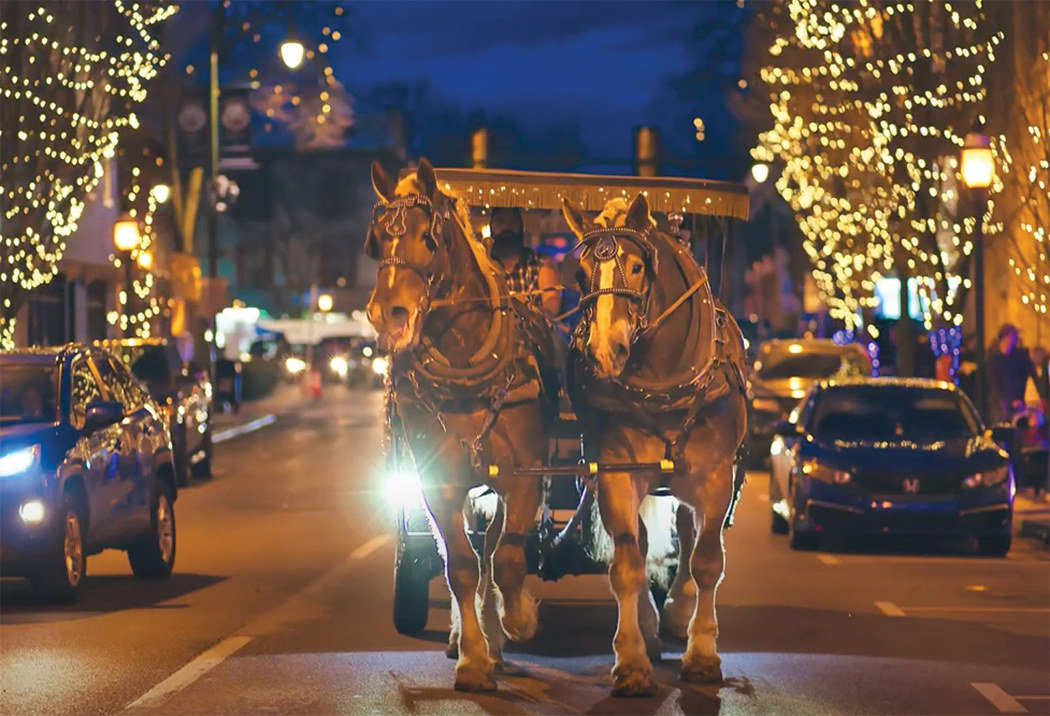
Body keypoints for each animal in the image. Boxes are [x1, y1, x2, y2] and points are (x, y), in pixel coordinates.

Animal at [567, 192, 747, 692]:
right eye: (579, 274)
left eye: (635, 266)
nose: (604, 353)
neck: (664, 386)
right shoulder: (616, 476)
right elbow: (627, 564)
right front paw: (631, 658)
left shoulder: (716, 479)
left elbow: (707, 561)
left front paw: (702, 652)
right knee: (645, 542)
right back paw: (649, 626)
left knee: (687, 536)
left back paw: (679, 610)